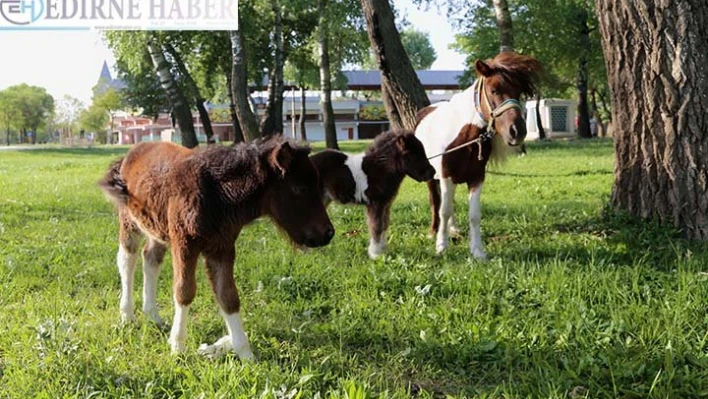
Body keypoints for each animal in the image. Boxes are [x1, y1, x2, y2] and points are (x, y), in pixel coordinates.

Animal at [98, 136, 336, 360]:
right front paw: (177, 347)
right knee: (127, 260)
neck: (217, 195)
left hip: (157, 228)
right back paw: (128, 316)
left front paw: (246, 355)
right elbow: (184, 291)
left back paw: (153, 316)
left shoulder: (222, 247)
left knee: (150, 258)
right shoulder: (185, 243)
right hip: (129, 221)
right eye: (300, 188)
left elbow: (228, 296)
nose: (328, 233)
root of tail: (129, 154)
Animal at [312, 129, 434, 260]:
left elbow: (384, 224)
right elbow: (376, 226)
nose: (433, 172)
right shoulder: (375, 203)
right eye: (413, 154)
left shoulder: (386, 204)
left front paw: (383, 249)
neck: (379, 169)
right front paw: (375, 254)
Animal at [414, 52, 544, 260]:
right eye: (493, 90)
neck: (465, 138)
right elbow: (444, 210)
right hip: (432, 177)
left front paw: (477, 252)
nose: (517, 131)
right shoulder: (446, 176)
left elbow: (474, 215)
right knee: (436, 202)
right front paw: (441, 247)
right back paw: (434, 231)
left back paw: (453, 230)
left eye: (518, 92)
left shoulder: (476, 178)